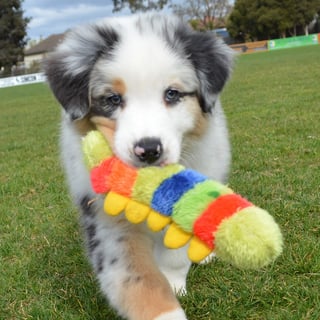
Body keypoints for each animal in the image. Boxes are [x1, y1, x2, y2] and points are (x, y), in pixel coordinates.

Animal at [43, 12, 234, 320]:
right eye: (113, 99)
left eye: (172, 94)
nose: (149, 150)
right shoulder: (105, 219)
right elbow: (136, 278)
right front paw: (166, 311)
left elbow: (174, 254)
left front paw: (173, 282)